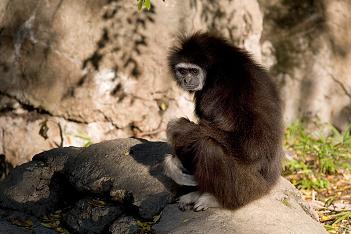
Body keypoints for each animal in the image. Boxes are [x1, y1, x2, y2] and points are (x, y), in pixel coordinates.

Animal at [164, 32, 284, 211]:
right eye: (182, 71)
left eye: (193, 71)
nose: (187, 80)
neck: (216, 68)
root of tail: (269, 186)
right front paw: (173, 165)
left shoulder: (230, 83)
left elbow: (253, 148)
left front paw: (176, 128)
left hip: (249, 188)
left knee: (208, 147)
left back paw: (214, 199)